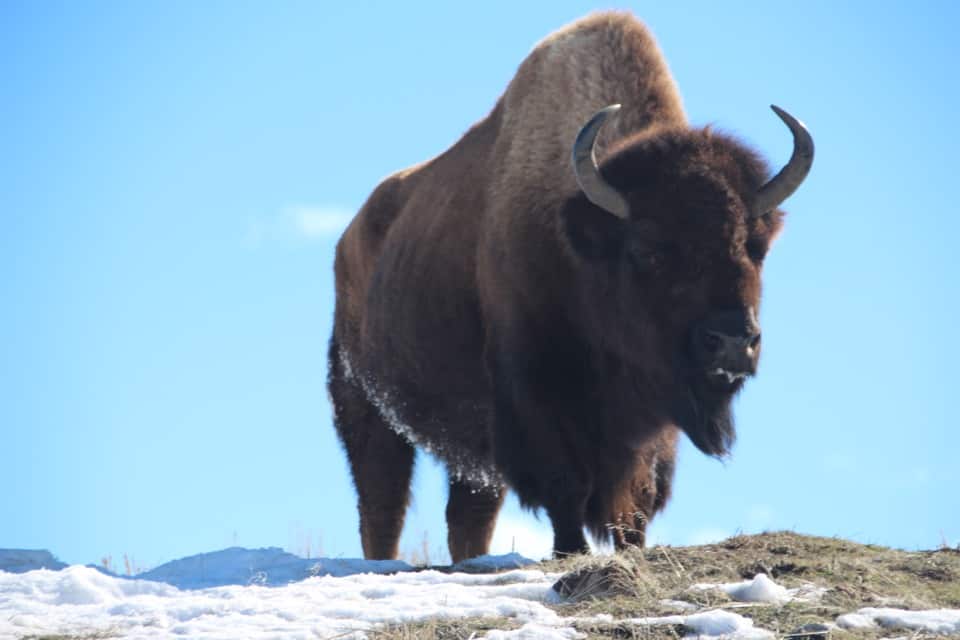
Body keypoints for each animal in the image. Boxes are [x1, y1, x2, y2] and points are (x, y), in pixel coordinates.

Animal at [328, 10, 808, 560]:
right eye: (648, 248)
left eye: (755, 245)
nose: (731, 342)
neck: (580, 237)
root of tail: (348, 239)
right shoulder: (537, 396)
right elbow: (566, 486)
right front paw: (570, 553)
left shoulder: (650, 424)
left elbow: (635, 501)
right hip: (369, 412)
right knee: (381, 506)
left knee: (465, 517)